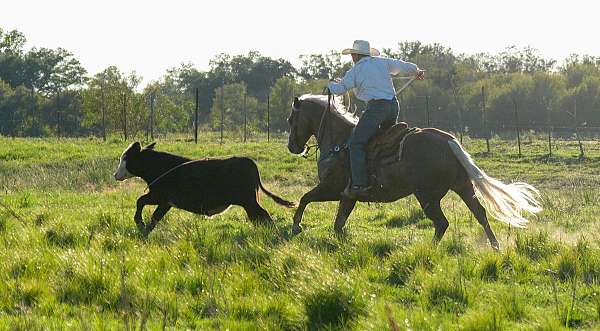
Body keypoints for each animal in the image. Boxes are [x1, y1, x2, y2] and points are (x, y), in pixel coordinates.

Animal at [113, 142, 296, 236]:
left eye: (125, 158)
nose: (115, 174)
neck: (161, 167)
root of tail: (249, 162)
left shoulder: (159, 196)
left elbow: (140, 201)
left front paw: (139, 222)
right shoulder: (166, 202)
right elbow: (155, 217)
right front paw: (144, 231)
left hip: (248, 201)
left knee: (262, 216)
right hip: (249, 202)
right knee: (259, 217)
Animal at [284, 93, 540, 249]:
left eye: (290, 120)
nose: (292, 147)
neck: (339, 141)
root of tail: (447, 140)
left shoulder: (332, 188)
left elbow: (305, 198)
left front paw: (296, 226)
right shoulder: (348, 196)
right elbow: (339, 222)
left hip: (427, 196)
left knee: (442, 223)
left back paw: (429, 250)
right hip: (463, 187)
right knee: (480, 214)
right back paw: (495, 247)